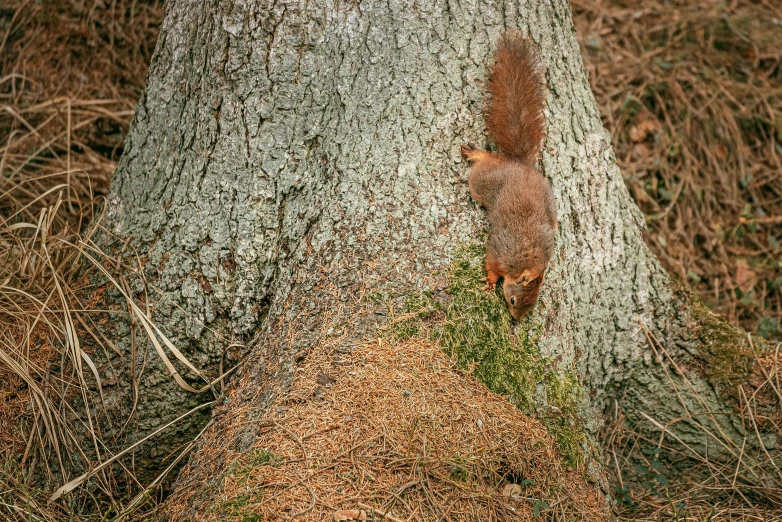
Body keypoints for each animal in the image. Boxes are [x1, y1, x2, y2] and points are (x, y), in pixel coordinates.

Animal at [462, 34, 560, 318]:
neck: (524, 262)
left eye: (532, 305)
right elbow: (491, 265)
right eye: (514, 300)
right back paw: (476, 154)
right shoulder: (500, 252)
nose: (516, 321)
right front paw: (490, 282)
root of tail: (520, 165)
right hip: (482, 183)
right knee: (485, 164)